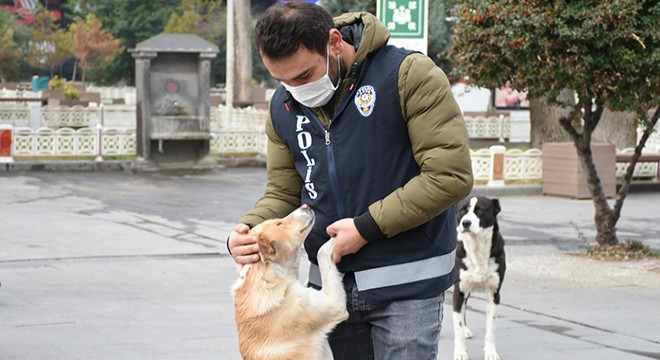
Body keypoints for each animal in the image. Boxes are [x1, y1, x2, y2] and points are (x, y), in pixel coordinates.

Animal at [454, 195, 506, 360]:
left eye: (480, 210)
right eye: (462, 210)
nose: (465, 223)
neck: (477, 248)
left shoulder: (494, 294)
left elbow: (491, 328)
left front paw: (491, 352)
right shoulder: (459, 291)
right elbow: (457, 326)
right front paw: (460, 352)